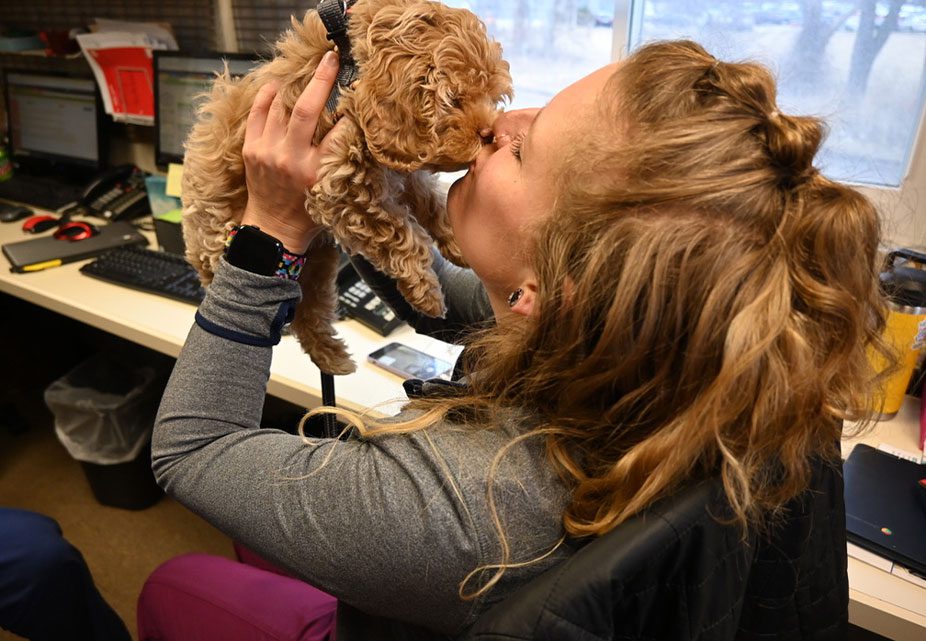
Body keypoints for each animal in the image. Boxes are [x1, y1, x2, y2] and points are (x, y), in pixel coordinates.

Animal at [179, 0, 516, 376]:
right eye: (453, 100)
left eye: (491, 97)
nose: (488, 133)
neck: (348, 66)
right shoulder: (339, 184)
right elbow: (399, 233)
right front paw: (426, 292)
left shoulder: (396, 169)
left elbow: (429, 201)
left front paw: (456, 243)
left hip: (318, 264)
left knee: (308, 314)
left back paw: (332, 358)